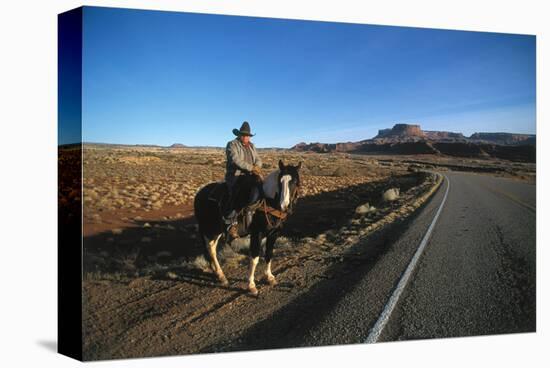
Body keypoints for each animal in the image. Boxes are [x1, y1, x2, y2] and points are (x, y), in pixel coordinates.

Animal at [195, 160, 302, 294]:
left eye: (295, 182)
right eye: (280, 181)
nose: (284, 205)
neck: (268, 202)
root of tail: (199, 194)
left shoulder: (274, 234)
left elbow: (269, 254)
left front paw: (270, 277)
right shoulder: (257, 233)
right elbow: (255, 258)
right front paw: (251, 285)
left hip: (217, 230)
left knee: (212, 247)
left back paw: (219, 274)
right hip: (208, 228)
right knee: (210, 249)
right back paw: (221, 276)